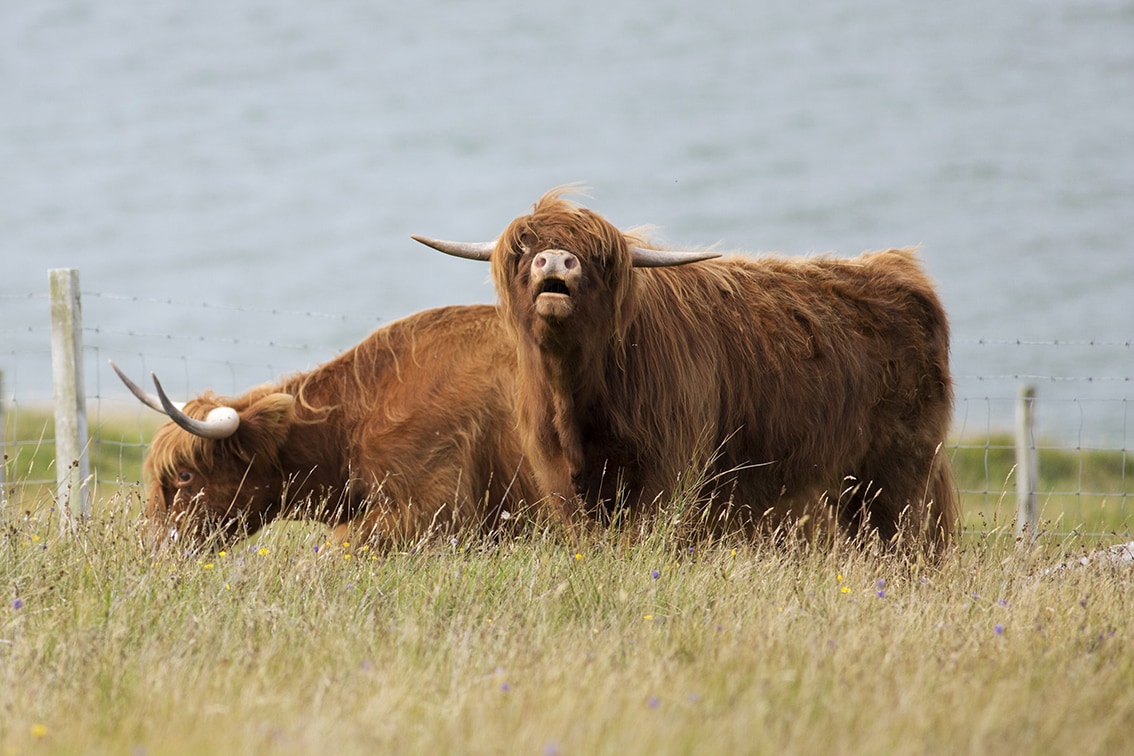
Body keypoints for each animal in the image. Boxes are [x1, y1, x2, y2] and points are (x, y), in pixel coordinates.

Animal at [417, 189, 957, 555]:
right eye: (524, 249)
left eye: (597, 256)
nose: (555, 260)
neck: (577, 397)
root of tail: (900, 269)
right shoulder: (559, 480)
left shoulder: (668, 470)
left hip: (897, 472)